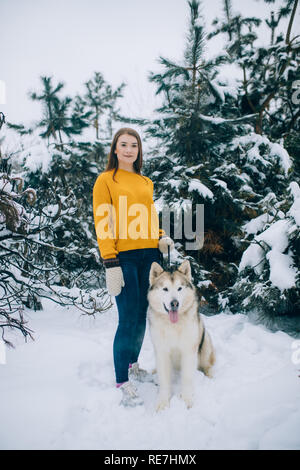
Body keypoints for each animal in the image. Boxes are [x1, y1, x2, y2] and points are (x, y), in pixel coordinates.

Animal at [148, 260, 216, 412]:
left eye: (179, 288)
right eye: (165, 289)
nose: (174, 303)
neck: (173, 325)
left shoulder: (188, 351)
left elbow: (187, 378)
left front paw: (186, 400)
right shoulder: (162, 351)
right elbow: (164, 380)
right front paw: (163, 402)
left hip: (205, 341)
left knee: (208, 365)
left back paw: (209, 375)